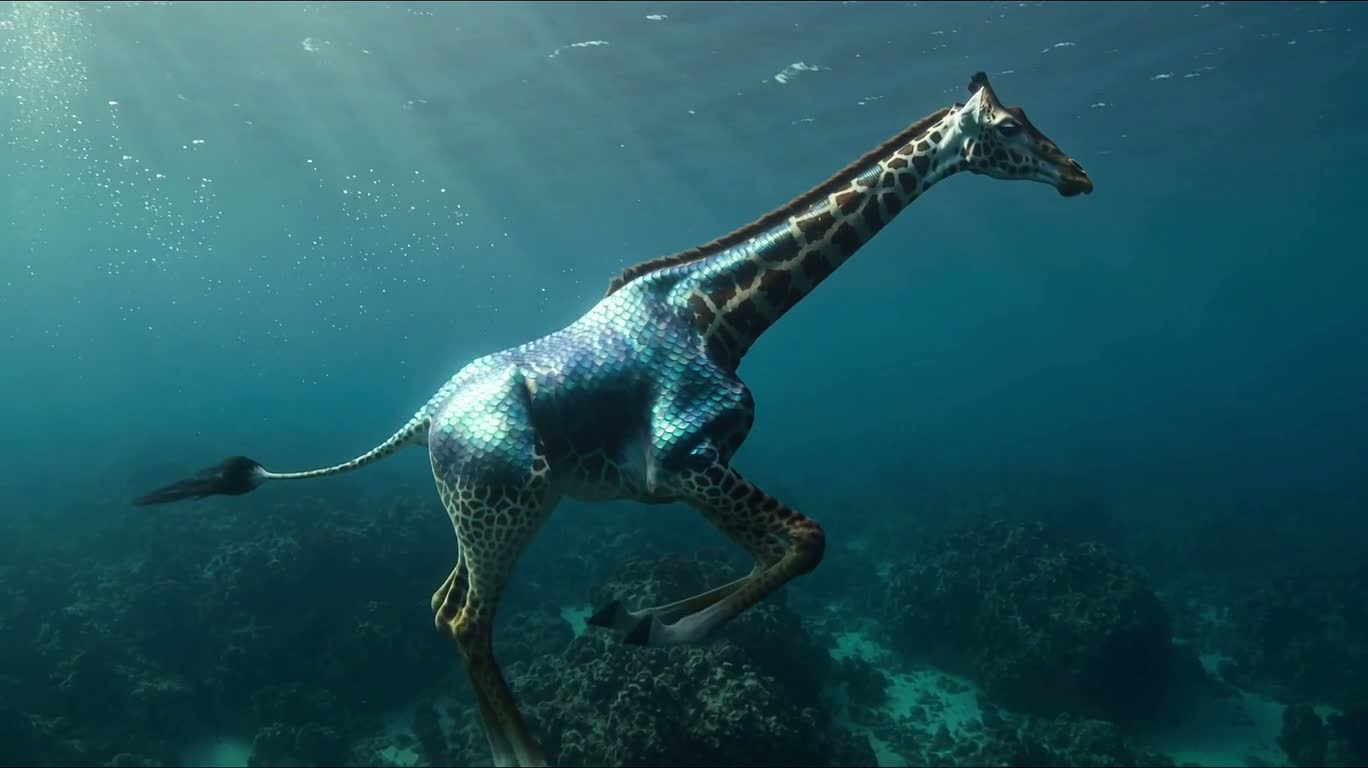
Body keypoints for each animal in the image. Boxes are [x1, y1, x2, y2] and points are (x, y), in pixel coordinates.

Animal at [133, 72, 1092, 767]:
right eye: (1010, 128)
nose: (1078, 174)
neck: (721, 314)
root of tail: (426, 416)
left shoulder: (681, 478)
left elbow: (787, 551)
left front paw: (629, 618)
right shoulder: (687, 458)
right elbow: (805, 542)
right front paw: (658, 626)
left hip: (495, 506)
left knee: (441, 604)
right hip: (508, 503)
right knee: (466, 619)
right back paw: (525, 758)